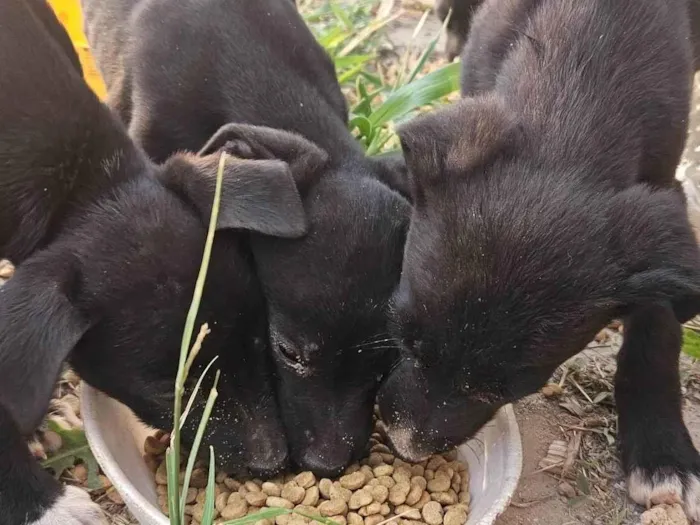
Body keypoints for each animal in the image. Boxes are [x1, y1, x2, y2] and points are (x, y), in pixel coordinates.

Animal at [380, 0, 700, 516]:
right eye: (405, 340)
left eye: (505, 389)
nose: (404, 446)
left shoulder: (663, 194)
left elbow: (658, 326)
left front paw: (663, 453)